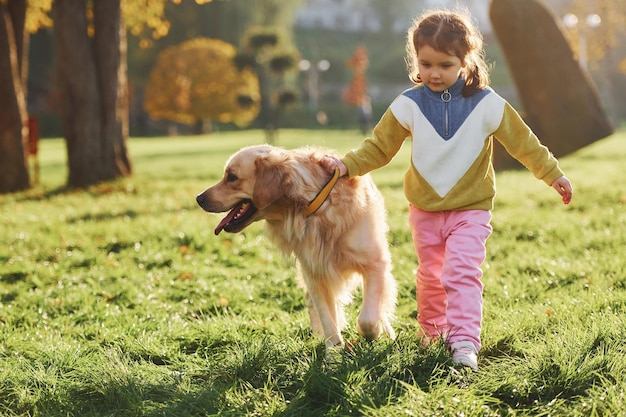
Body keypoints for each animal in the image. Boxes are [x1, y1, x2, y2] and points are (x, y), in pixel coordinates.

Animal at [195, 145, 394, 350]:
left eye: (232, 177)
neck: (313, 205)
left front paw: (374, 332)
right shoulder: (314, 272)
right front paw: (333, 352)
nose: (199, 198)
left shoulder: (375, 263)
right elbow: (327, 318)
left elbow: (368, 318)